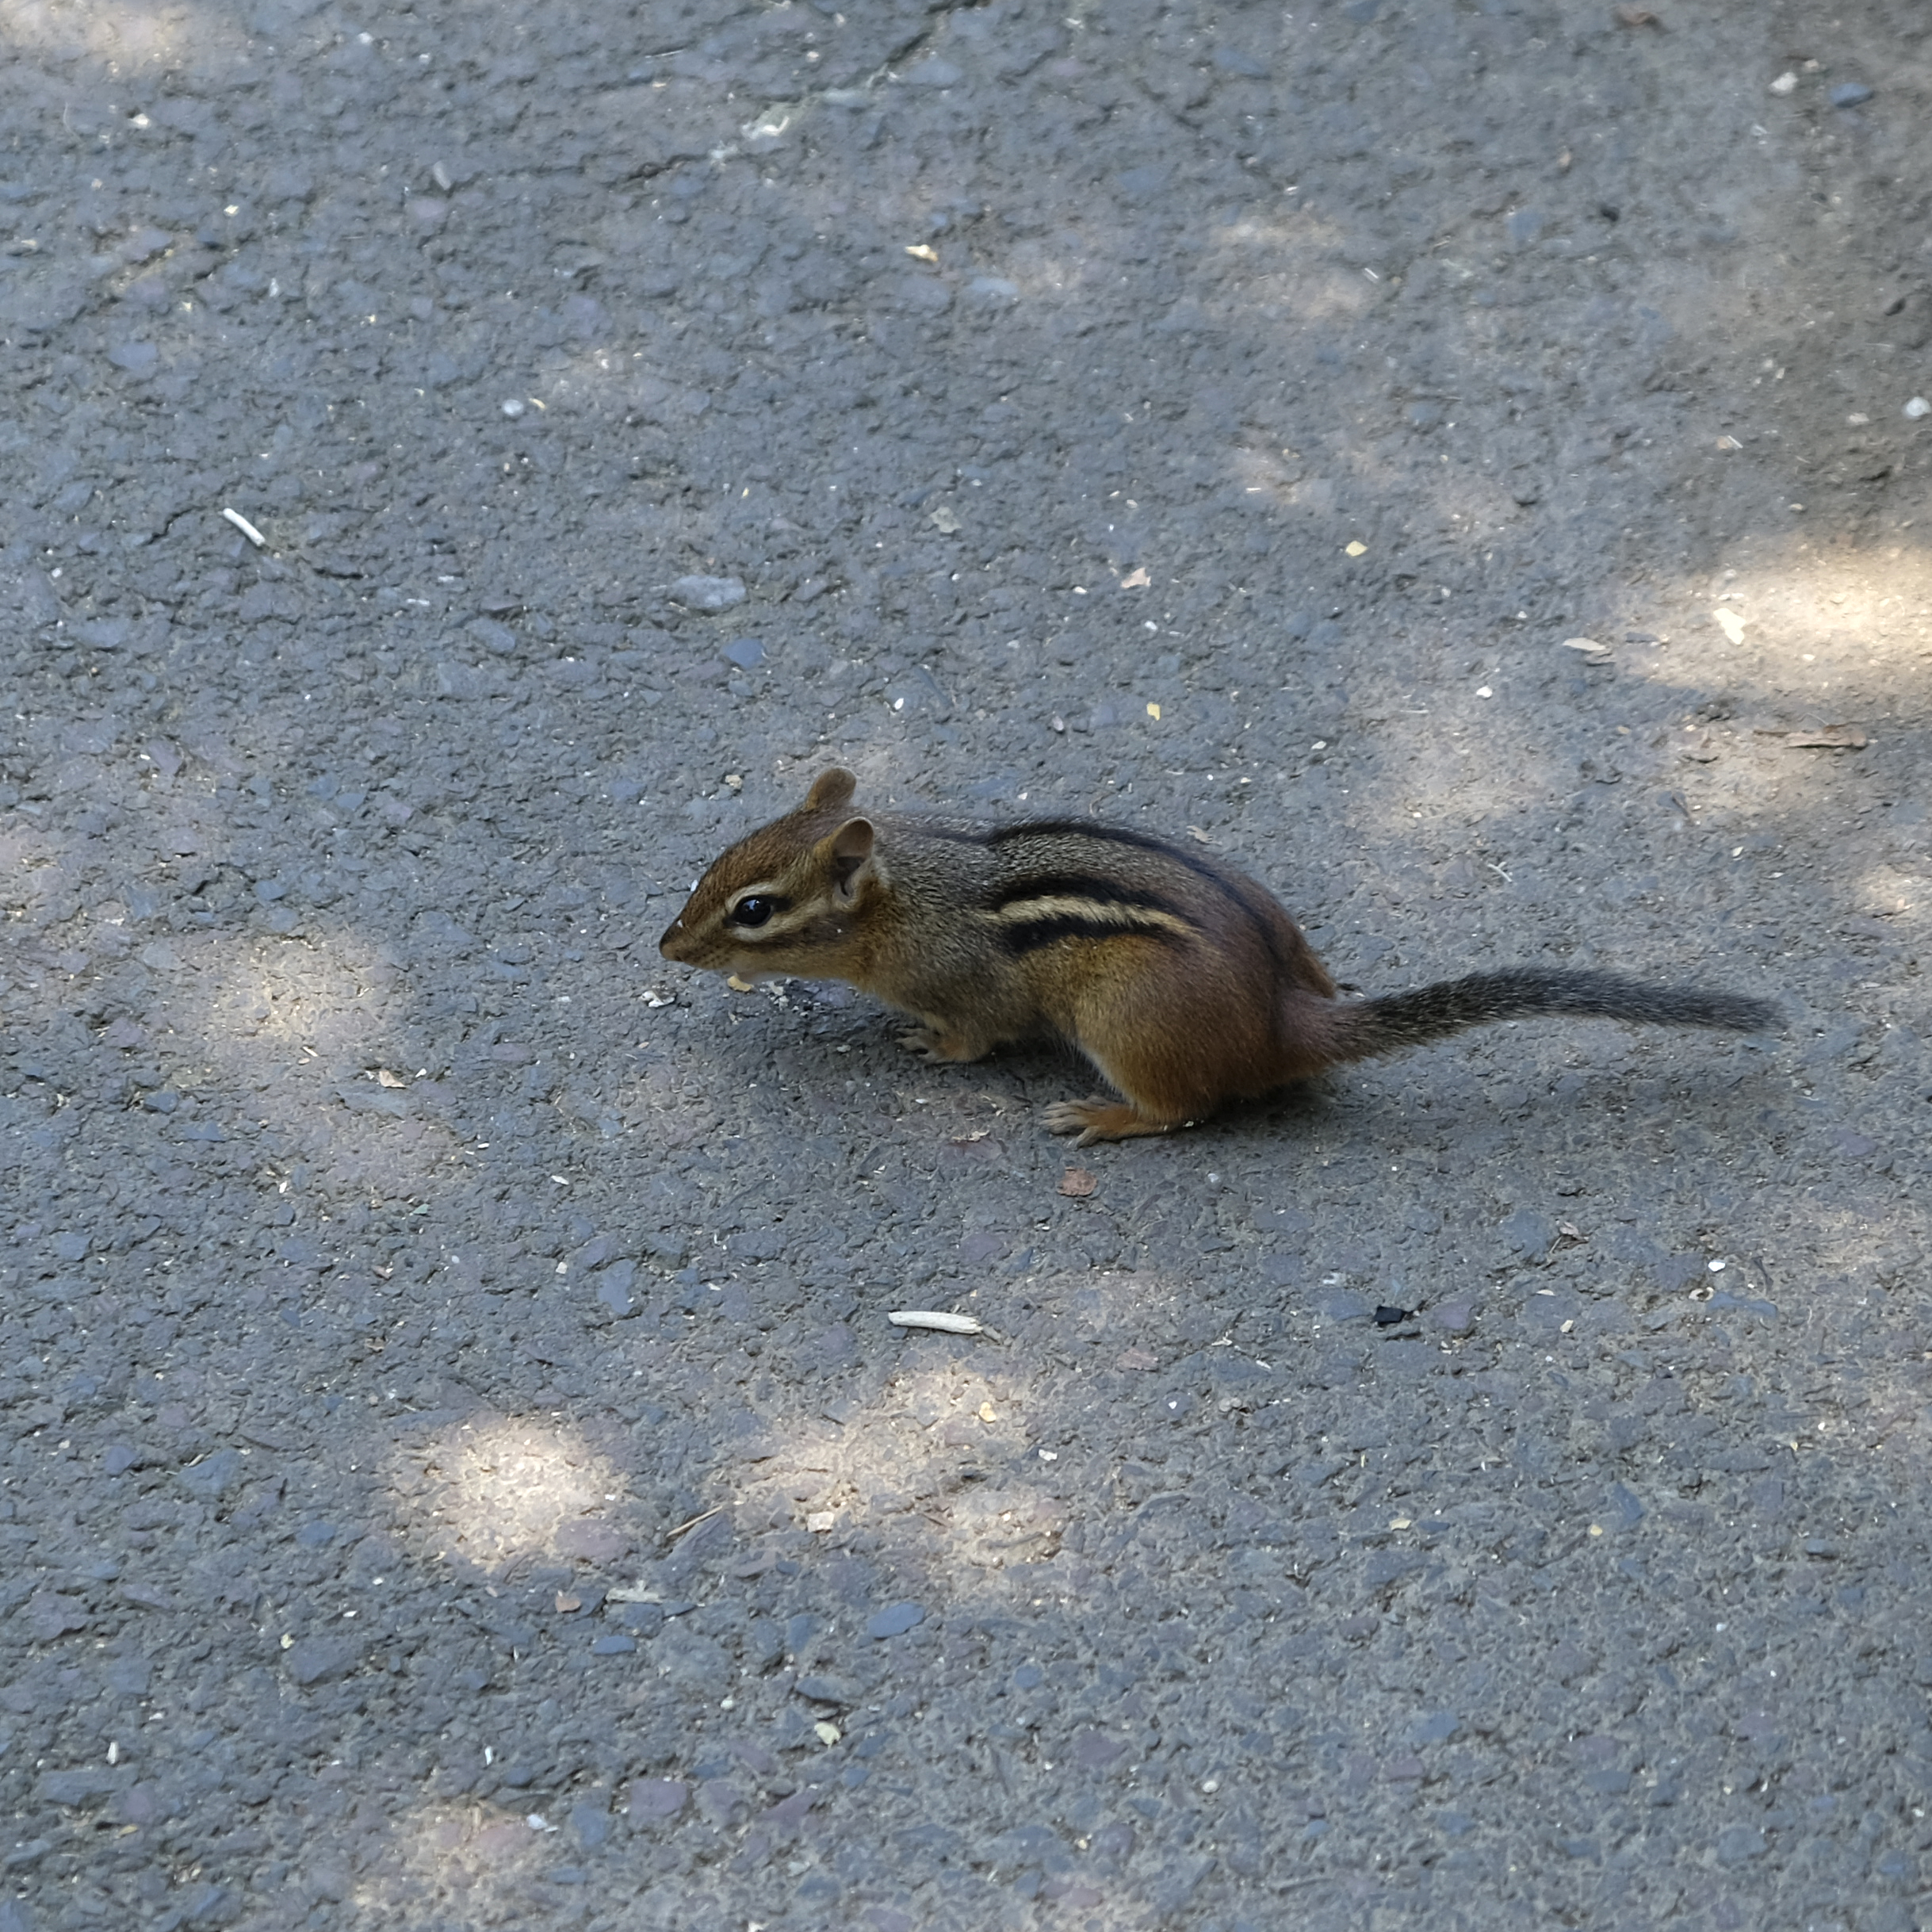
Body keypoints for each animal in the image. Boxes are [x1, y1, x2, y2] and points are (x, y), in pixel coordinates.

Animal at [659, 767, 1779, 1145]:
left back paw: (1104, 1117)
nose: (667, 945)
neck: (909, 891)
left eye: (754, 909)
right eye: (714, 865)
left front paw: (928, 1046)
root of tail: (1287, 1023)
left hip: (1123, 1022)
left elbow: (973, 1038)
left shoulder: (967, 988)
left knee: (1185, 1109)